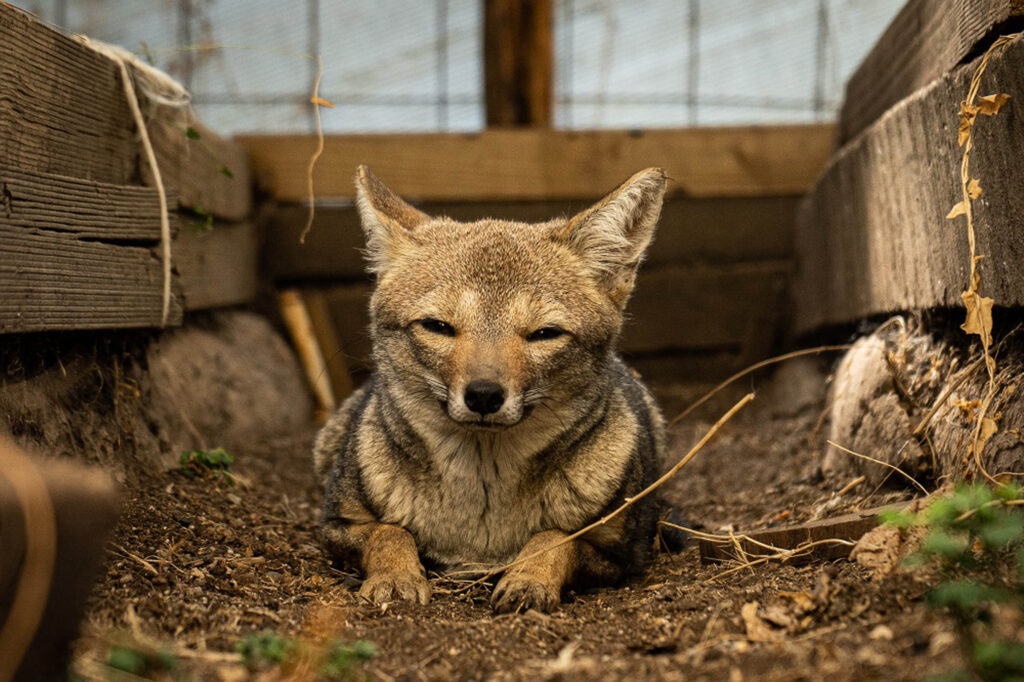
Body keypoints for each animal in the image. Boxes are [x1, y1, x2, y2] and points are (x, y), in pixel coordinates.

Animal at [315, 163, 675, 610]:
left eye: (544, 334)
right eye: (437, 326)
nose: (483, 395)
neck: (483, 510)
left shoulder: (622, 552)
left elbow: (554, 537)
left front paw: (528, 578)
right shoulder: (335, 524)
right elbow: (390, 531)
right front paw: (396, 576)